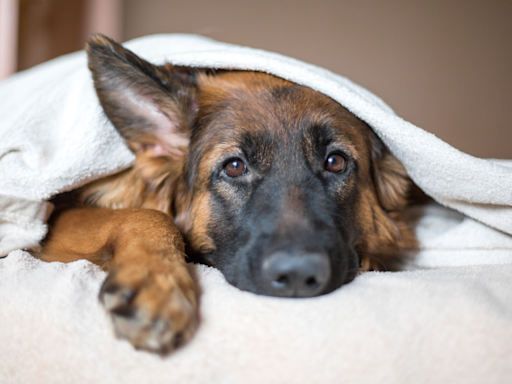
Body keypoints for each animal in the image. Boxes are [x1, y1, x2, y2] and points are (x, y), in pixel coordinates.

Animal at [39, 35, 416, 354]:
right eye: (234, 167)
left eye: (335, 162)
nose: (297, 275)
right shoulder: (56, 221)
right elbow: (148, 215)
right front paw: (156, 281)